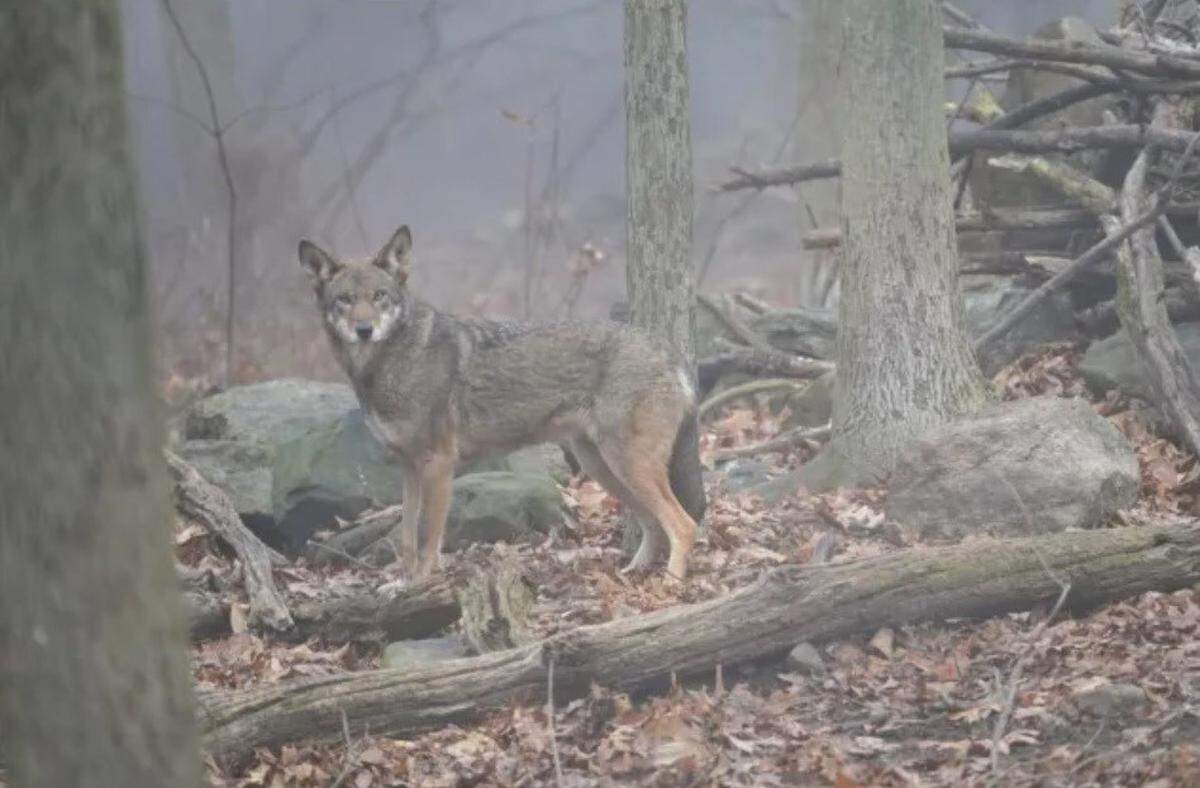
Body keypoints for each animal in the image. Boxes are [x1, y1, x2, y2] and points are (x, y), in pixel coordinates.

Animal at [299, 224, 706, 580]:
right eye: (344, 300)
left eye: (379, 296)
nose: (364, 330)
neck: (390, 365)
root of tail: (668, 350)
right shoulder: (408, 467)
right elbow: (408, 540)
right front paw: (402, 586)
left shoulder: (440, 464)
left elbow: (429, 540)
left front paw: (423, 584)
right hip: (603, 467)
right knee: (654, 524)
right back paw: (633, 573)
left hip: (626, 465)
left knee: (683, 525)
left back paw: (671, 583)